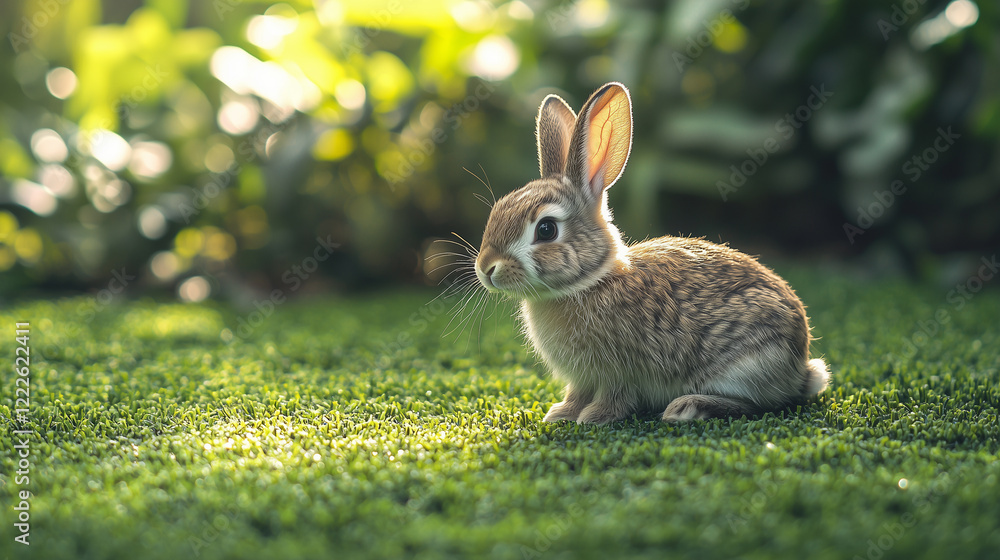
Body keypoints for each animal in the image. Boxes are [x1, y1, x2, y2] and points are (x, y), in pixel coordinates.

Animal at [473, 82, 830, 424]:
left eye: (546, 229)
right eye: (498, 208)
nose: (486, 268)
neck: (589, 283)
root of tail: (800, 368)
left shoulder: (620, 370)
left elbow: (615, 396)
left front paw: (593, 418)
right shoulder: (583, 377)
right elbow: (576, 393)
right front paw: (560, 413)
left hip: (747, 363)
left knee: (761, 404)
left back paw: (688, 407)